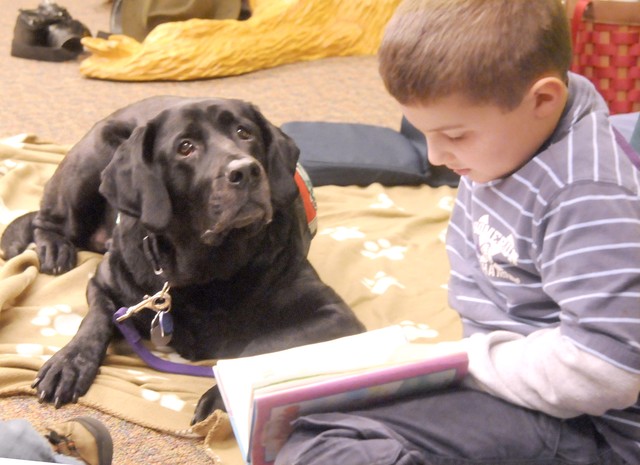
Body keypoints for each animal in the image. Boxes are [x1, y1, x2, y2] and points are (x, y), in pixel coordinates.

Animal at [0, 96, 362, 422]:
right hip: (89, 162)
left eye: (244, 133)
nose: (246, 170)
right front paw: (69, 362)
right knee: (45, 219)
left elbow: (266, 344)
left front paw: (223, 394)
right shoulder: (104, 283)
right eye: (185, 147)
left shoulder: (334, 315)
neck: (206, 269)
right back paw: (54, 247)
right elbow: (95, 320)